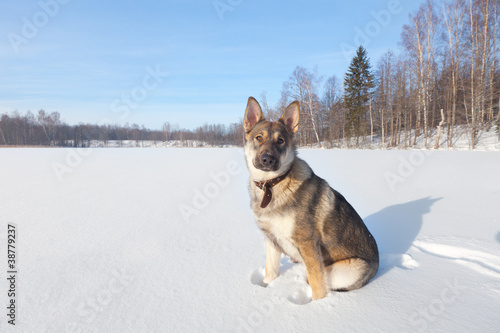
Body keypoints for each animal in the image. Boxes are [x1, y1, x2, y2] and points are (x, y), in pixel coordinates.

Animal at [242, 96, 378, 300]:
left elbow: (318, 286)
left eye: (280, 141)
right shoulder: (271, 239)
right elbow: (270, 272)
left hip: (349, 269)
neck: (271, 185)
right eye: (259, 137)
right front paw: (264, 289)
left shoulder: (307, 244)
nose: (268, 159)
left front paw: (316, 306)